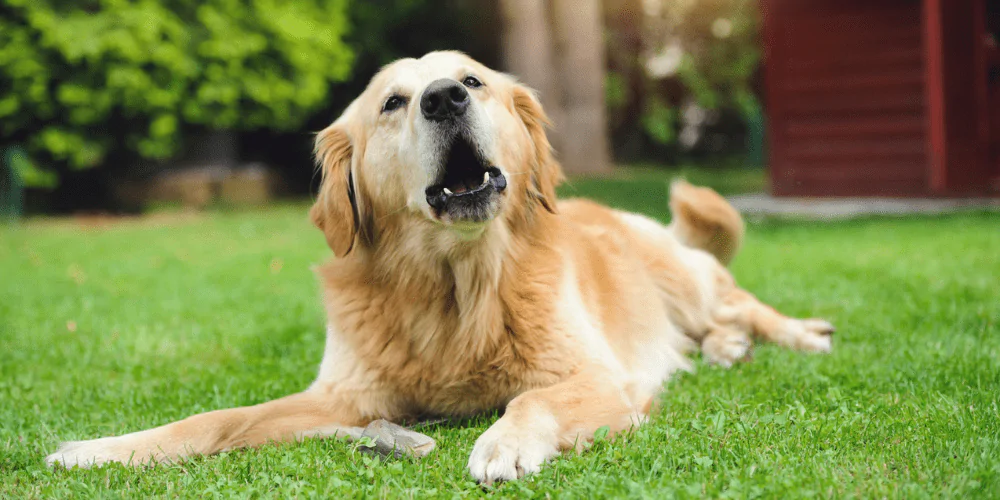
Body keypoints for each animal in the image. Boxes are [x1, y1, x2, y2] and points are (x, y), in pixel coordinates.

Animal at [47, 51, 832, 484]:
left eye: (473, 81)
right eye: (393, 102)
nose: (444, 97)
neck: (453, 286)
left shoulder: (597, 377)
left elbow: (530, 401)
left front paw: (504, 445)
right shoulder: (343, 399)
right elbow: (215, 419)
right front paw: (102, 448)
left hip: (684, 278)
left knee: (741, 304)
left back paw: (795, 334)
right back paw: (728, 350)